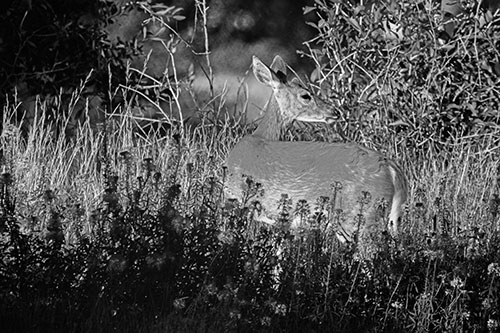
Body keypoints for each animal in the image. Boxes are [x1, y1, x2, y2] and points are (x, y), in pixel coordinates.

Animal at [225, 55, 408, 240]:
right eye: (305, 95)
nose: (334, 111)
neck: (259, 137)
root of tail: (392, 170)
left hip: (359, 216)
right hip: (389, 218)